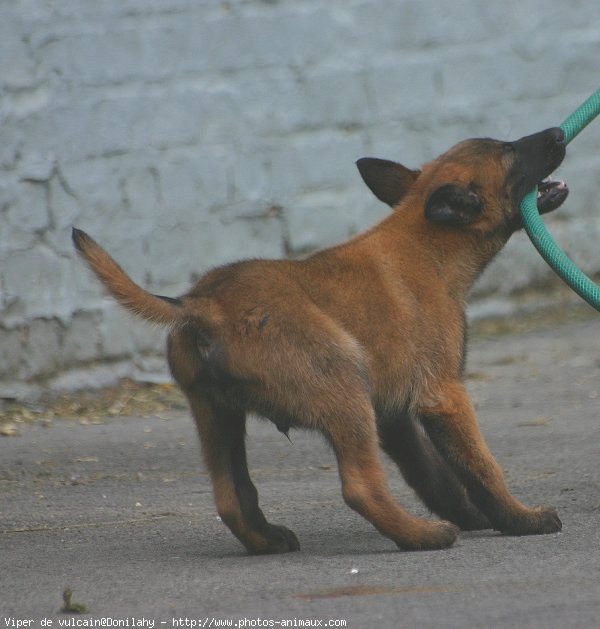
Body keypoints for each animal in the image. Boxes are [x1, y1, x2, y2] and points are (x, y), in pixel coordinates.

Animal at [72, 127, 568, 556]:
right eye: (509, 151)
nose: (558, 133)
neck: (428, 243)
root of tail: (204, 304)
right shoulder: (442, 395)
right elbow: (483, 467)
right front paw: (521, 519)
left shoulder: (394, 415)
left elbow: (433, 475)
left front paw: (472, 516)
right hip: (343, 388)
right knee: (361, 488)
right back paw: (423, 537)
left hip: (217, 416)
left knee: (230, 495)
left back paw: (269, 540)